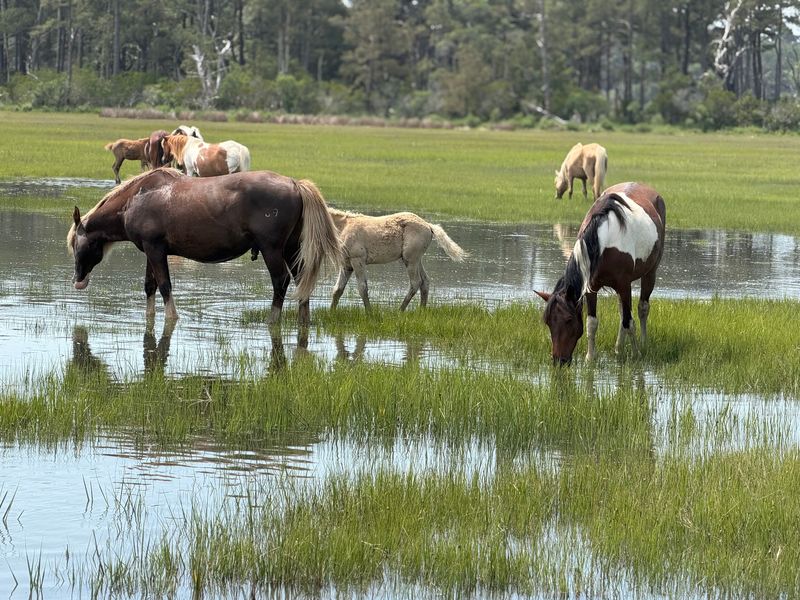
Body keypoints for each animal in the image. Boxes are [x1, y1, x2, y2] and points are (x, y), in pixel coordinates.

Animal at [67, 168, 343, 327]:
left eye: (76, 244)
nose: (78, 280)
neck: (137, 198)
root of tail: (295, 184)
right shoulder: (149, 251)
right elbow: (149, 287)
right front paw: (149, 318)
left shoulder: (155, 250)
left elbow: (165, 287)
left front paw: (172, 318)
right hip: (291, 248)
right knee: (300, 279)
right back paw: (303, 320)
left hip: (272, 249)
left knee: (281, 280)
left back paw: (272, 320)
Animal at [328, 208, 467, 311]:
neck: (343, 227)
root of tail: (428, 226)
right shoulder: (346, 265)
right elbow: (337, 290)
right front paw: (331, 312)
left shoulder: (358, 261)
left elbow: (362, 288)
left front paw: (370, 313)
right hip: (416, 260)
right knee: (425, 282)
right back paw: (421, 311)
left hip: (410, 260)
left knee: (415, 282)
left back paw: (400, 311)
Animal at [535, 182, 666, 366]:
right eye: (548, 322)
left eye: (568, 320)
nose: (559, 361)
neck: (604, 242)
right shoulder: (591, 288)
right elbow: (592, 323)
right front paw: (590, 358)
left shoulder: (624, 285)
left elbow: (629, 322)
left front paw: (636, 355)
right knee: (622, 311)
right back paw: (618, 347)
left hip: (650, 273)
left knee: (642, 308)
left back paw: (643, 343)